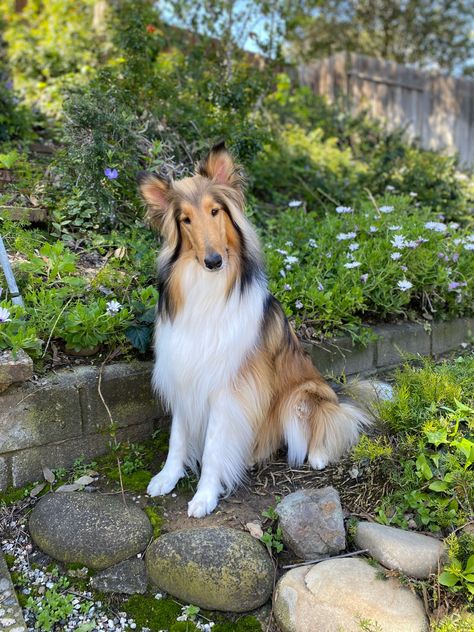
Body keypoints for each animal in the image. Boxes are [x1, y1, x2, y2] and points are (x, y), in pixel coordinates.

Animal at [138, 143, 388, 520]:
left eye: (215, 211)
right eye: (185, 220)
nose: (213, 261)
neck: (207, 290)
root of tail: (333, 391)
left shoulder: (227, 386)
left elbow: (213, 447)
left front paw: (205, 495)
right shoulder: (185, 370)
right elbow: (178, 436)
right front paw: (168, 476)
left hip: (302, 394)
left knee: (334, 423)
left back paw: (317, 455)